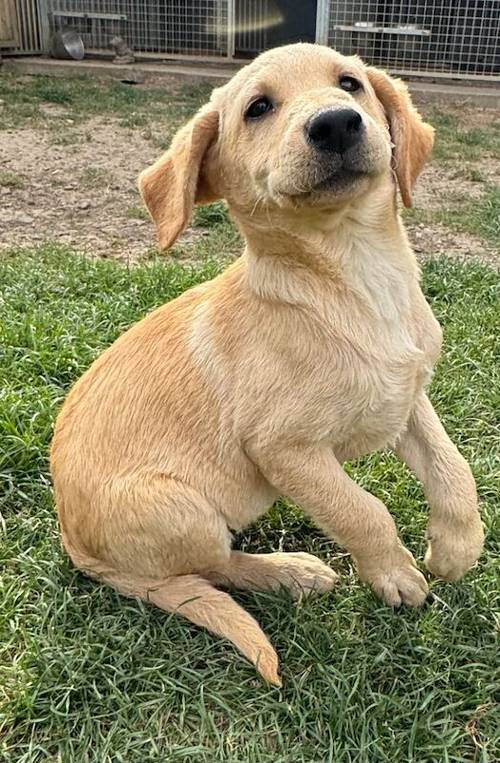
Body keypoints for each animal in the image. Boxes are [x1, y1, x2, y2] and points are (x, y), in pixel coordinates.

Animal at [49, 43, 480, 688]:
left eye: (349, 84)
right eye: (257, 108)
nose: (336, 123)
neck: (354, 280)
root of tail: (72, 539)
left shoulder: (406, 395)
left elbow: (454, 470)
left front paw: (457, 547)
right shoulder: (283, 449)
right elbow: (363, 511)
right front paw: (396, 575)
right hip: (185, 508)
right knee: (210, 569)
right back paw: (288, 572)